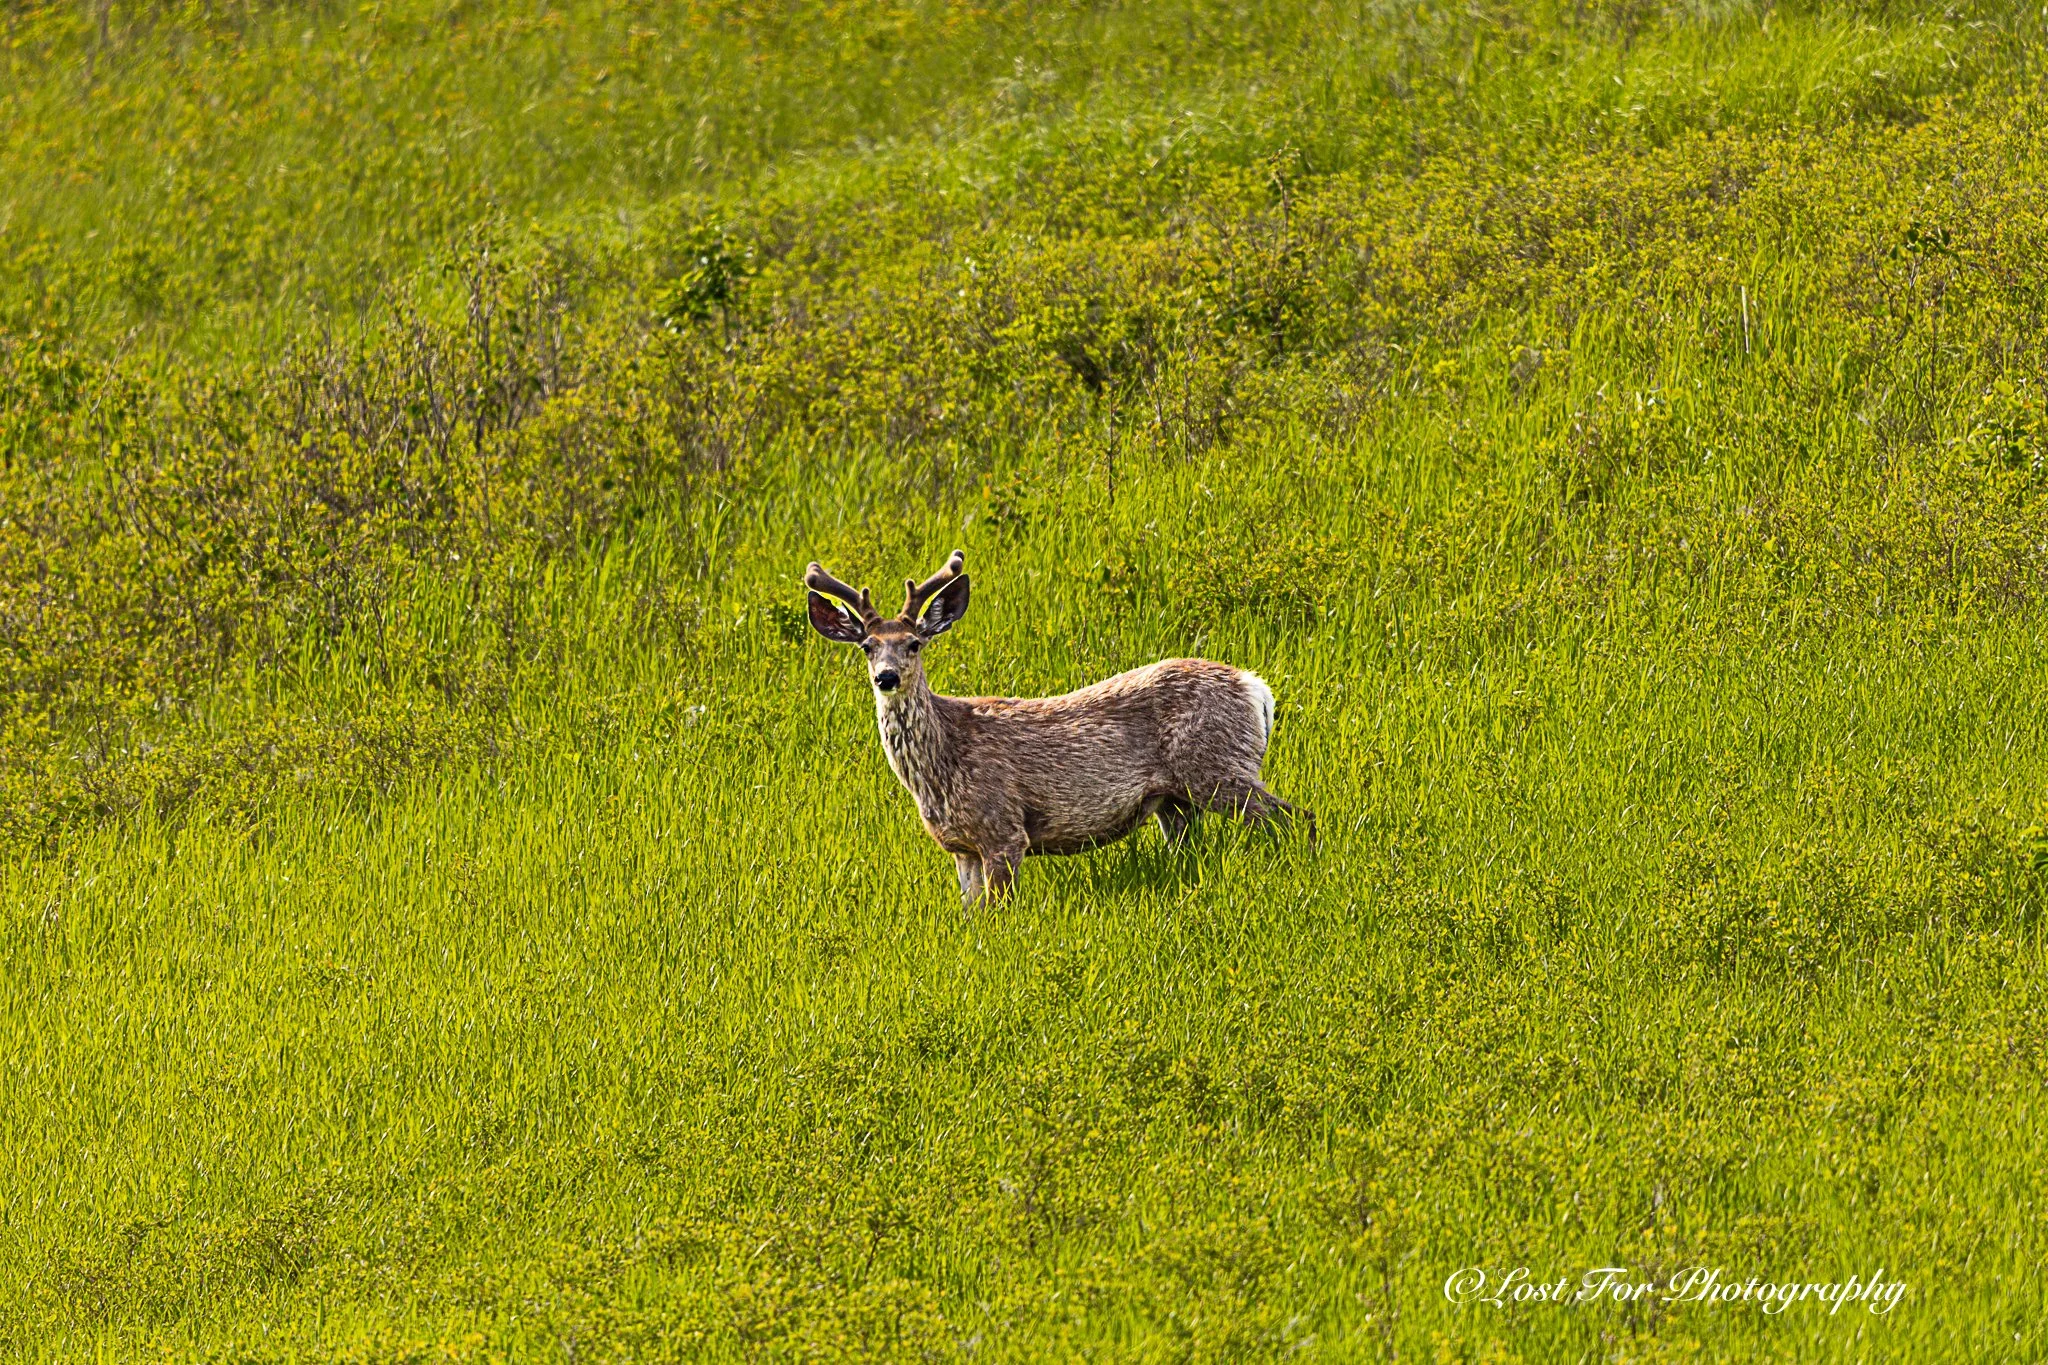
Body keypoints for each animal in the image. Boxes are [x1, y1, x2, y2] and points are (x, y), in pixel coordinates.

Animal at [804, 549, 1312, 905]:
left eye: (913, 643)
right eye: (868, 646)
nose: (886, 677)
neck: (941, 766)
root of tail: (1257, 690)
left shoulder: (1004, 829)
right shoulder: (962, 847)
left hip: (1219, 768)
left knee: (1297, 817)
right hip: (1176, 801)